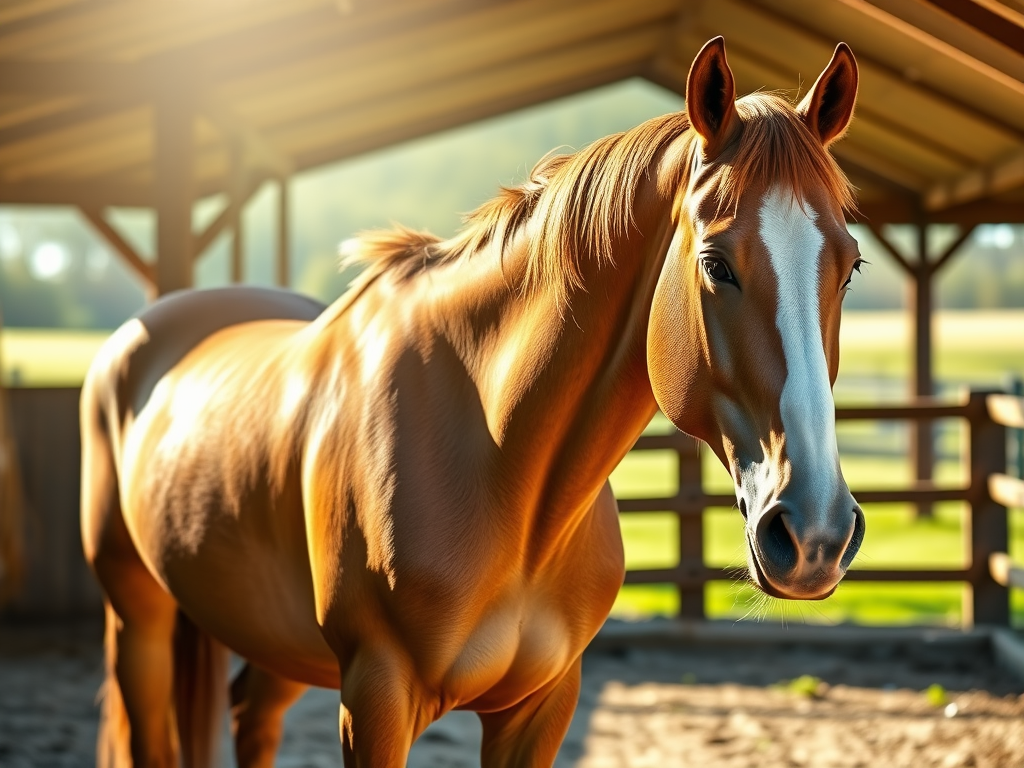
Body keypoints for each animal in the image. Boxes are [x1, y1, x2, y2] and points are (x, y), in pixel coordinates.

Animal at [80, 37, 864, 768]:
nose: (816, 535)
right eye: (715, 264)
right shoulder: (376, 698)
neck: (502, 474)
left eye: (851, 267)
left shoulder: (540, 706)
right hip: (138, 615)